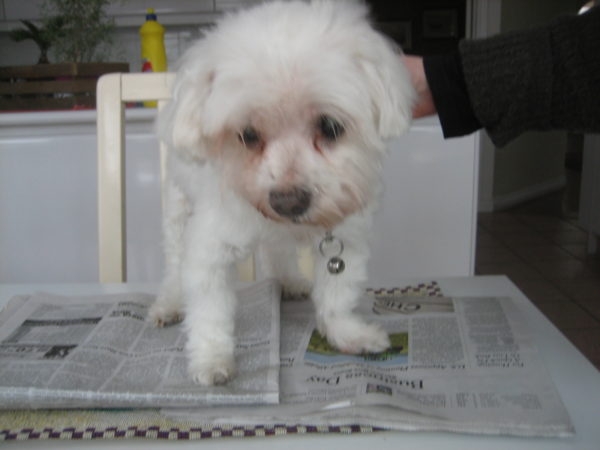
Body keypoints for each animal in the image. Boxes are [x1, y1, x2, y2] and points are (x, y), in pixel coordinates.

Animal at [148, 0, 414, 384]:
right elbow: (210, 310)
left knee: (277, 253)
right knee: (173, 264)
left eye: (330, 126)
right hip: (178, 210)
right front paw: (211, 360)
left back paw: (288, 281)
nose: (288, 201)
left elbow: (337, 296)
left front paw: (348, 335)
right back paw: (168, 303)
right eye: (246, 134)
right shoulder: (209, 248)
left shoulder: (347, 238)